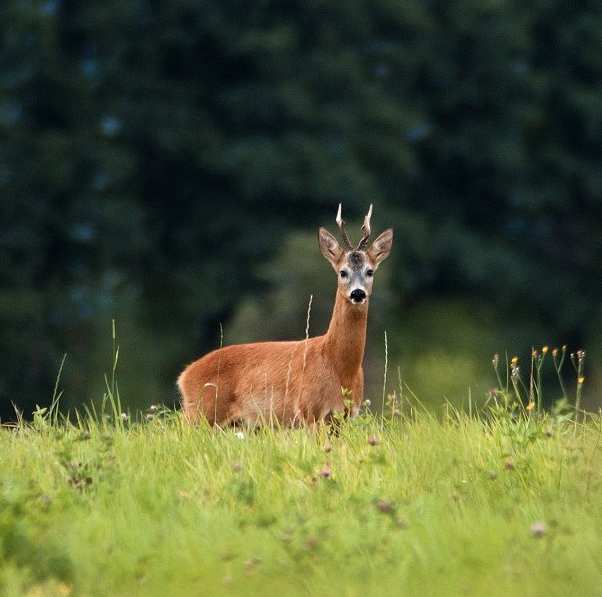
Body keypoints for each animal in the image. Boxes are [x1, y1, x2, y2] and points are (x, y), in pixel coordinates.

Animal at [177, 205, 394, 424]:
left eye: (370, 271)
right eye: (343, 272)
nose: (358, 293)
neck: (338, 367)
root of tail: (184, 376)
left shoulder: (345, 416)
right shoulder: (308, 410)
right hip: (201, 413)